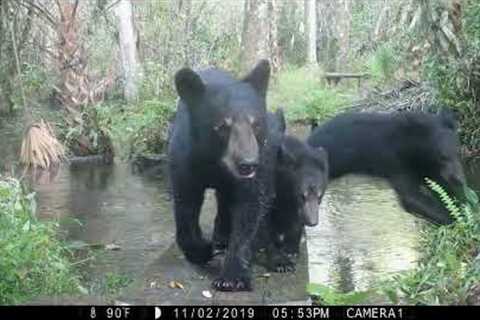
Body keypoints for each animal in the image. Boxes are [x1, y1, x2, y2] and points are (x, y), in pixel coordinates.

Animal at [168, 60, 278, 292]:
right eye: (222, 126)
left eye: (256, 124)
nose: (248, 164)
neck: (215, 162)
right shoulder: (185, 160)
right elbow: (185, 203)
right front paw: (201, 249)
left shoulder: (256, 166)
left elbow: (248, 208)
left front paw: (232, 277)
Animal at [308, 112, 464, 225]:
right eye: (442, 156)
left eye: (458, 152)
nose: (459, 179)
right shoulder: (396, 160)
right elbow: (411, 195)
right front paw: (454, 217)